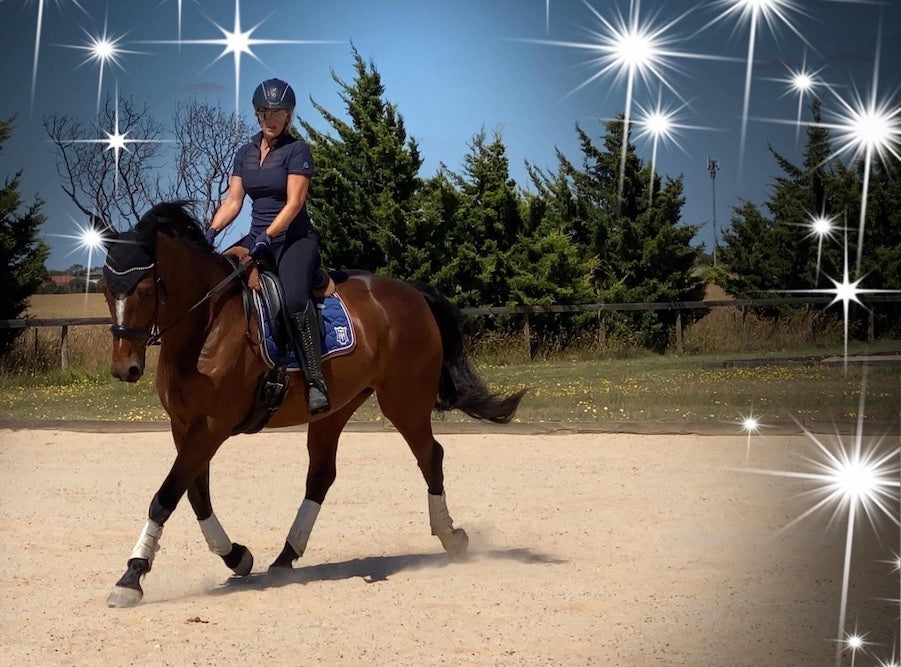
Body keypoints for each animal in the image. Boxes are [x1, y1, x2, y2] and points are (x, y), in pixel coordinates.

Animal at [98, 202, 525, 608]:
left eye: (144, 289)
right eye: (105, 288)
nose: (124, 368)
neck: (205, 326)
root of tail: (410, 292)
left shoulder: (211, 427)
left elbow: (166, 496)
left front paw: (131, 578)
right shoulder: (184, 426)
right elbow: (195, 495)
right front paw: (237, 556)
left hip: (404, 401)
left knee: (430, 456)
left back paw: (451, 536)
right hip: (336, 409)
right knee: (321, 475)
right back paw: (286, 557)